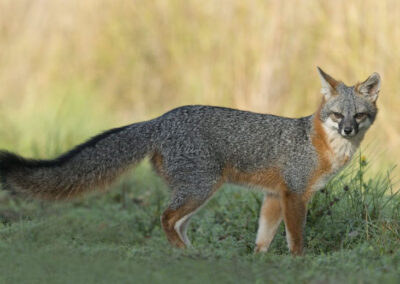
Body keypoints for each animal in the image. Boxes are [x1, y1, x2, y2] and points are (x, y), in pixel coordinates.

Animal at [0, 68, 380, 255]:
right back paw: (186, 254)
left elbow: (263, 239)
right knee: (166, 219)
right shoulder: (295, 195)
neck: (321, 144)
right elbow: (295, 239)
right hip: (200, 188)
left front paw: (258, 263)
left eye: (359, 115)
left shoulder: (274, 196)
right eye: (337, 115)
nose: (347, 129)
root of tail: (159, 119)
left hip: (197, 191)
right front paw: (298, 265)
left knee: (177, 223)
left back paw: (191, 255)